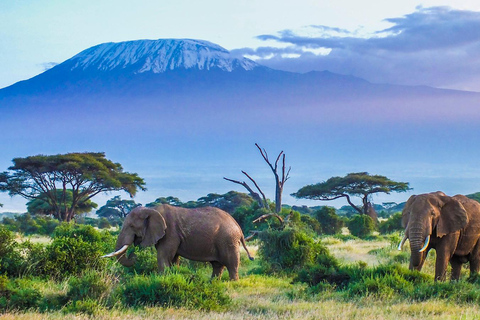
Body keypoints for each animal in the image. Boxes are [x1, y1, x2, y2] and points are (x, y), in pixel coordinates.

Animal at [102, 205, 255, 280]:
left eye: (132, 226)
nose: (134, 255)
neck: (152, 209)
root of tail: (238, 227)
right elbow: (173, 258)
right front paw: (172, 276)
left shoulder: (170, 233)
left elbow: (163, 256)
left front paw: (161, 280)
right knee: (217, 265)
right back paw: (213, 283)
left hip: (228, 240)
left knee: (231, 264)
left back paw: (233, 282)